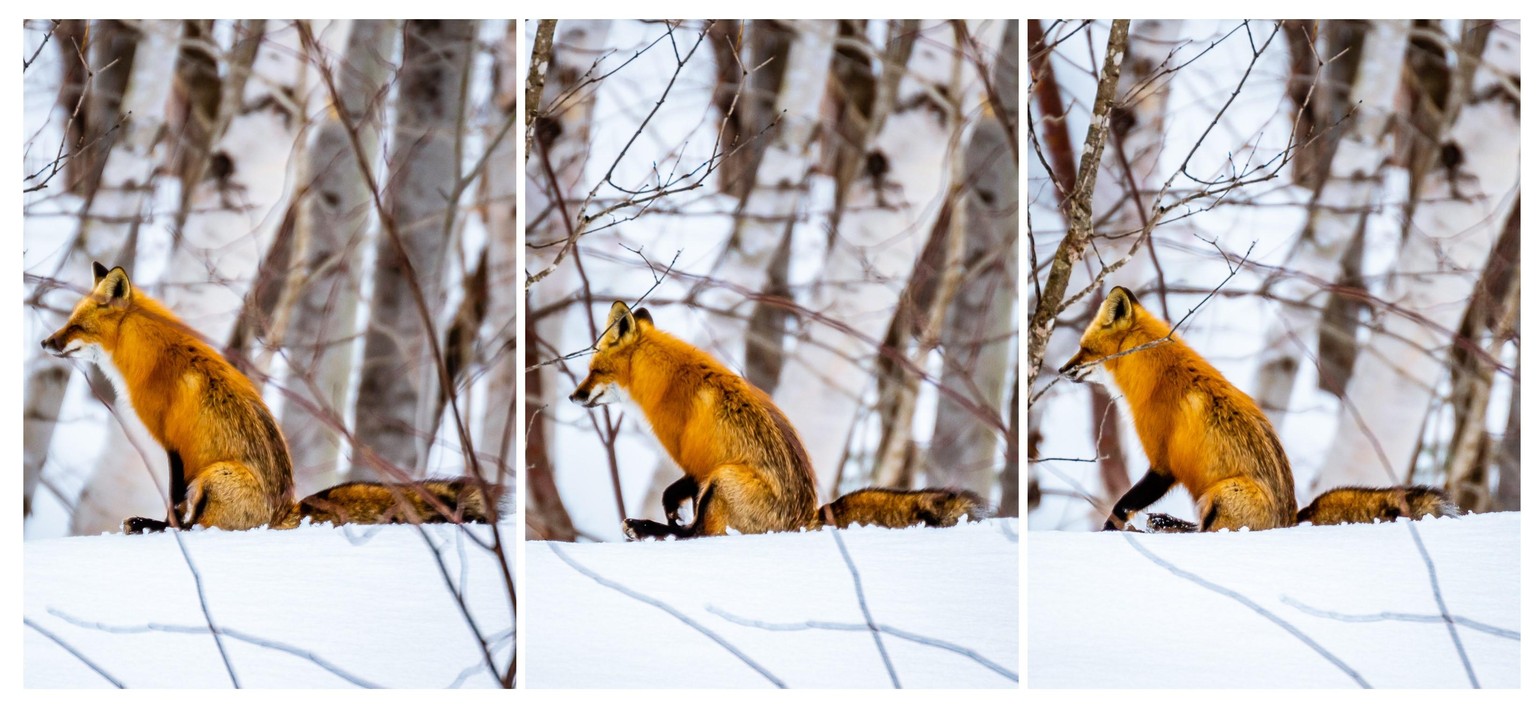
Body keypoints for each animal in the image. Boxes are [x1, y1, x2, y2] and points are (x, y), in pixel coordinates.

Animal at [568, 301, 987, 539]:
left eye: (594, 371)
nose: (573, 397)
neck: (665, 378)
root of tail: (805, 519)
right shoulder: (698, 466)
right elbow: (674, 492)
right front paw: (669, 513)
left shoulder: (699, 462)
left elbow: (675, 493)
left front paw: (667, 516)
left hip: (724, 479)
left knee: (702, 535)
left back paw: (648, 530)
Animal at [1060, 286, 1455, 532]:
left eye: (1085, 348)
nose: (1061, 370)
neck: (1155, 373)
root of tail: (1291, 518)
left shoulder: (1162, 464)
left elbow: (1120, 507)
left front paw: (1105, 535)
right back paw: (1164, 523)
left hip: (1223, 492)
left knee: (1206, 534)